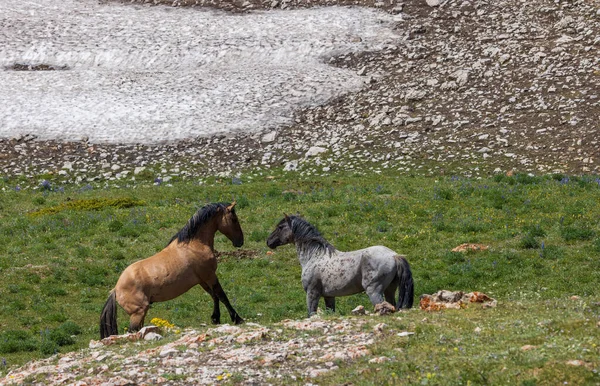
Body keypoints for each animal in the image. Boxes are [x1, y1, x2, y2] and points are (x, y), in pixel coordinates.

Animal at [101, 202, 244, 338]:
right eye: (234, 219)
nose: (240, 241)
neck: (194, 245)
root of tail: (115, 290)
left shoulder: (202, 280)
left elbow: (214, 296)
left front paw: (216, 319)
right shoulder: (209, 275)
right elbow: (222, 295)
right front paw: (237, 319)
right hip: (138, 312)